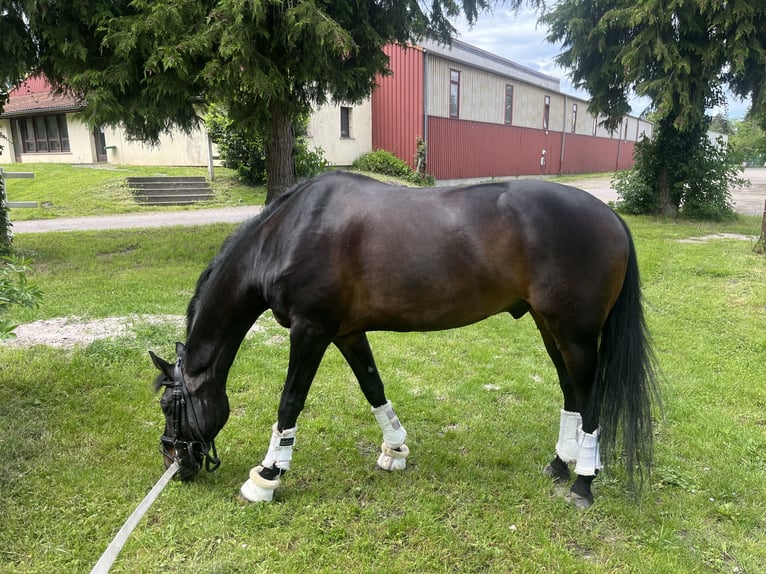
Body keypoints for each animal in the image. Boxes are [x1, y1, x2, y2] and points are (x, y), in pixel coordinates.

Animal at [150, 170, 660, 508]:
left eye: (171, 405)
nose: (176, 462)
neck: (289, 234)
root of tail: (611, 217)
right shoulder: (347, 333)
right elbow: (373, 386)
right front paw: (394, 449)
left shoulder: (310, 331)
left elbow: (289, 402)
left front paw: (267, 476)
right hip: (549, 326)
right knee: (572, 393)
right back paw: (559, 465)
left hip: (575, 335)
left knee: (591, 401)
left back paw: (583, 482)